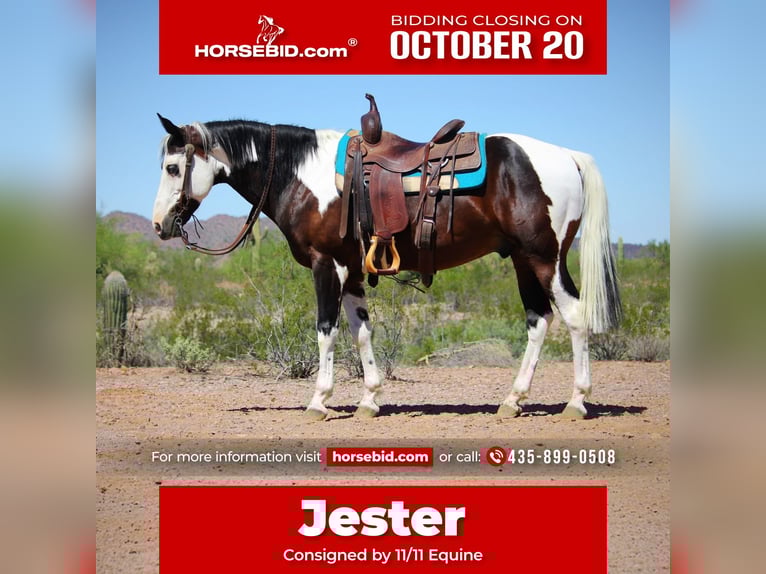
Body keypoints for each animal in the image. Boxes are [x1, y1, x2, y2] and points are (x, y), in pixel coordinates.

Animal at [151, 105, 622, 421]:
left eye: (173, 167)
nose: (159, 224)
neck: (301, 174)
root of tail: (569, 156)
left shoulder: (327, 265)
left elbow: (326, 331)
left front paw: (319, 401)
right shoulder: (352, 271)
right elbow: (361, 331)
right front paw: (369, 399)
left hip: (545, 257)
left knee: (574, 316)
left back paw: (577, 402)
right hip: (523, 260)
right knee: (539, 320)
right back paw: (512, 401)